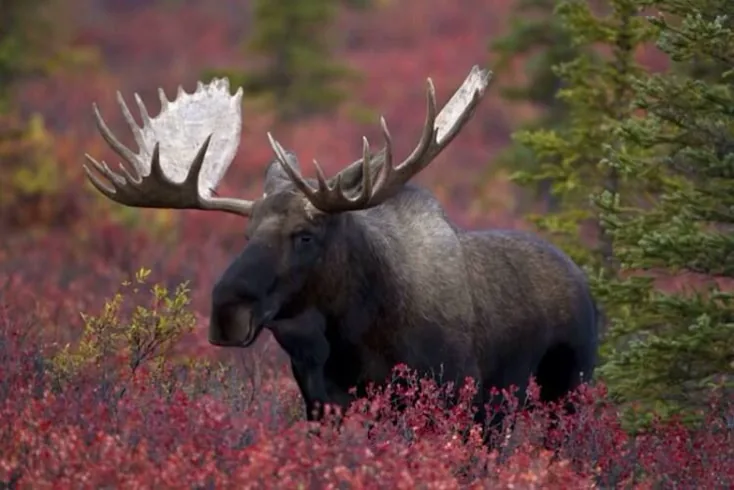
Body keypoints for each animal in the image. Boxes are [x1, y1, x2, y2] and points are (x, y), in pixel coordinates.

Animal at [82, 65, 600, 442]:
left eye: (306, 235)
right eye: (246, 233)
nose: (227, 312)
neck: (356, 332)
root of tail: (587, 286)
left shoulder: (453, 396)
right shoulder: (322, 403)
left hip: (567, 390)